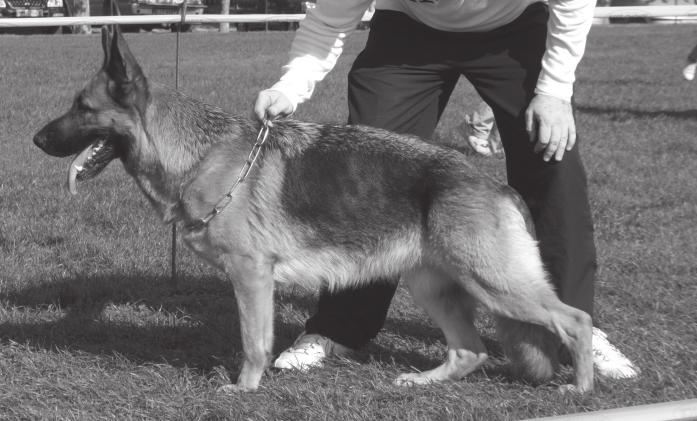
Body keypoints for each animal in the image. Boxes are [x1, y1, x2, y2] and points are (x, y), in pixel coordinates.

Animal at [34, 26, 592, 394]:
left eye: (83, 108)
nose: (35, 140)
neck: (199, 155)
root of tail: (496, 186)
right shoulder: (253, 280)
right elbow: (257, 339)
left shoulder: (251, 277)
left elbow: (253, 341)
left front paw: (243, 391)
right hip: (434, 285)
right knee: (470, 350)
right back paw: (422, 382)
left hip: (496, 284)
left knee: (576, 319)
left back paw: (580, 389)